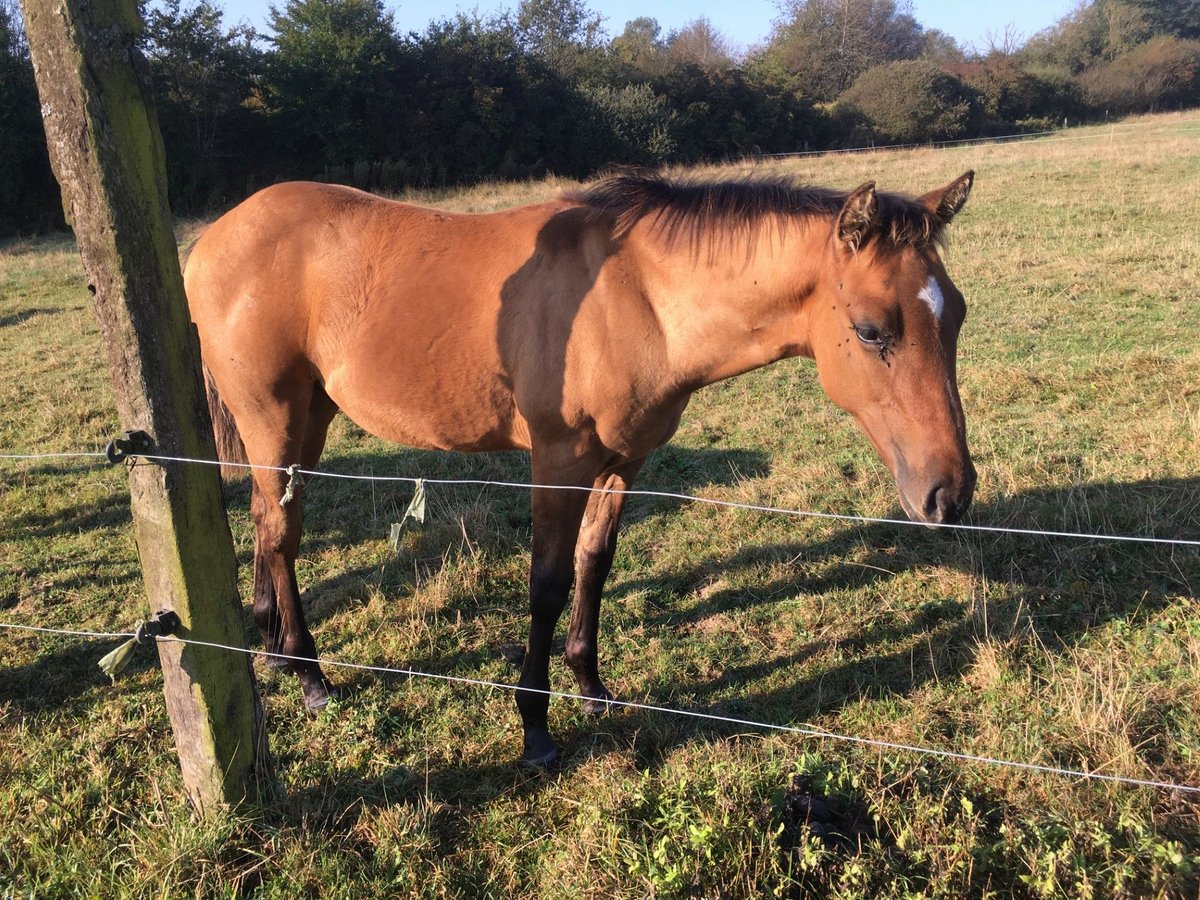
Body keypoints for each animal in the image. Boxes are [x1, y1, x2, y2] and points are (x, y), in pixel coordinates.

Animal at [184, 170, 974, 768]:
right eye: (872, 331)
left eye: (957, 315)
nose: (950, 493)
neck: (639, 298)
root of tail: (213, 238)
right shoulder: (557, 463)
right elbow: (547, 583)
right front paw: (535, 727)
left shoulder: (624, 463)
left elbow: (596, 563)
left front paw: (591, 683)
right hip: (275, 419)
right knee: (281, 534)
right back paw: (308, 672)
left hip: (306, 422)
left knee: (268, 521)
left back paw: (273, 647)